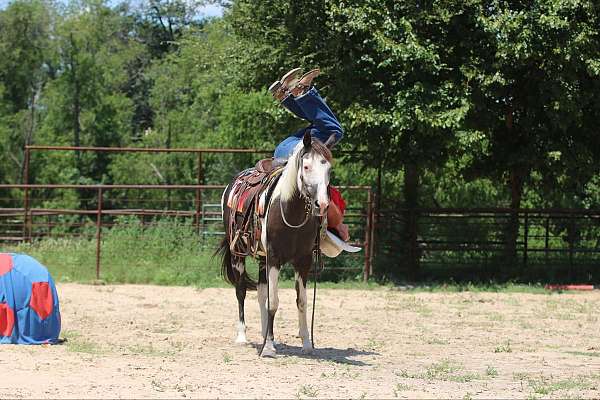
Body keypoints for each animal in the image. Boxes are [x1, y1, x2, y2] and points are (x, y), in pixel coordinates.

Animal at [218, 130, 336, 356]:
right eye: (306, 166)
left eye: (328, 169)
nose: (322, 204)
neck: (290, 211)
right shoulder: (274, 258)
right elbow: (274, 301)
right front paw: (269, 347)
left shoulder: (303, 261)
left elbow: (301, 301)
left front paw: (306, 343)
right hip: (238, 254)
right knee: (241, 291)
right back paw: (242, 337)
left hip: (262, 259)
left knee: (261, 293)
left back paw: (266, 335)